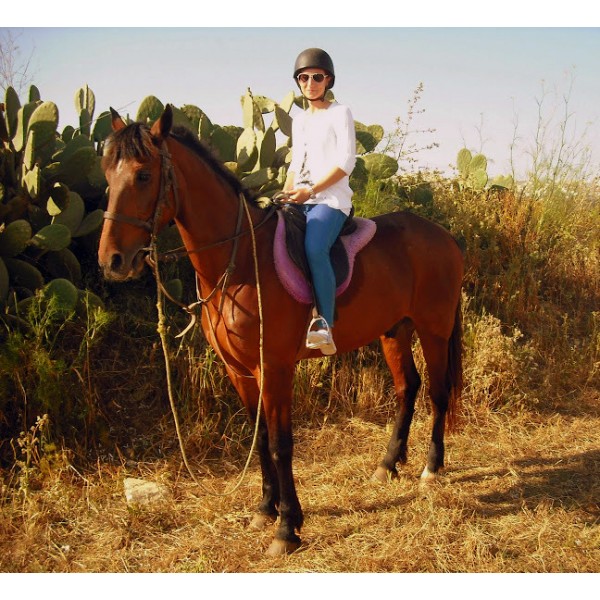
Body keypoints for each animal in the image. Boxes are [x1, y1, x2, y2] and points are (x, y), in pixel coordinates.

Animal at [98, 105, 464, 557]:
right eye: (107, 173)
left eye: (143, 175)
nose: (112, 260)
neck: (239, 261)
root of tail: (444, 236)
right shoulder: (239, 370)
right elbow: (259, 441)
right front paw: (265, 510)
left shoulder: (274, 368)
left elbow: (280, 443)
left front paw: (287, 527)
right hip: (394, 330)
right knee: (406, 387)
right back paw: (387, 464)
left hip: (434, 329)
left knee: (437, 392)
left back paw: (432, 468)